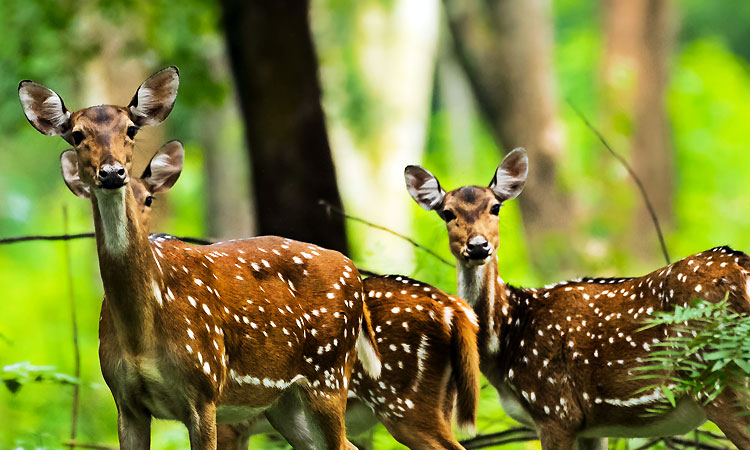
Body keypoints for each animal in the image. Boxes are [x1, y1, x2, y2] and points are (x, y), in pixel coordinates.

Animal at [19, 67, 382, 450]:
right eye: (76, 134)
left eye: (130, 129)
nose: (112, 172)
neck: (140, 335)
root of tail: (353, 272)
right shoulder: (125, 400)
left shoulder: (204, 389)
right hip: (285, 401)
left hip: (329, 373)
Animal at [406, 149, 750, 450]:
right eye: (446, 213)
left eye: (495, 207)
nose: (478, 246)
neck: (506, 339)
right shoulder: (591, 425)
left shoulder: (555, 409)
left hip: (718, 378)